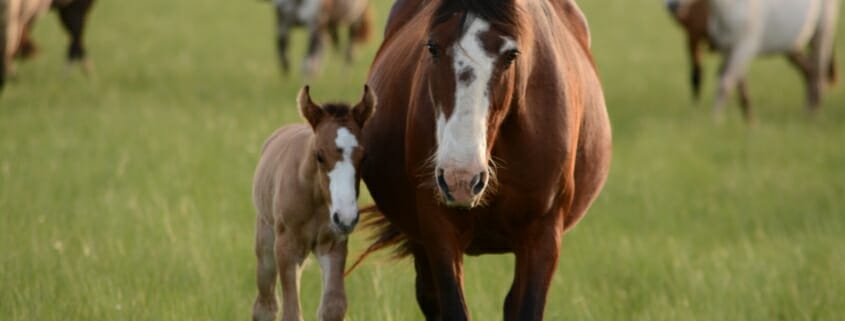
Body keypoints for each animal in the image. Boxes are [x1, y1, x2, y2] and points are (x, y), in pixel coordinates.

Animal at [251, 85, 376, 320]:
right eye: (319, 155)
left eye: (364, 157)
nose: (346, 218)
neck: (316, 200)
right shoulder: (286, 247)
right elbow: (291, 312)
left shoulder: (334, 244)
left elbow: (333, 307)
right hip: (266, 243)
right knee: (265, 304)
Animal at [664, 0, 836, 119]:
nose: (672, 6)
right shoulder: (727, 49)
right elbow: (735, 84)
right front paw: (747, 120)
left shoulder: (745, 46)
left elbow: (725, 83)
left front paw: (715, 120)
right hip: (794, 44)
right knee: (810, 72)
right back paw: (809, 111)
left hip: (822, 34)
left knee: (818, 73)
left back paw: (813, 116)